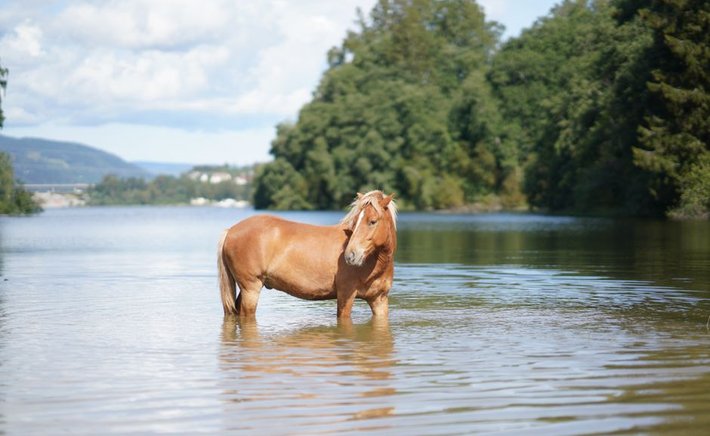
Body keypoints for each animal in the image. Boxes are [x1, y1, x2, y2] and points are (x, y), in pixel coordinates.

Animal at [217, 190, 397, 319]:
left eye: (372, 221)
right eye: (356, 221)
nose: (350, 255)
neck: (374, 263)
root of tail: (230, 231)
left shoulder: (379, 300)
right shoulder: (346, 295)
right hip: (251, 289)